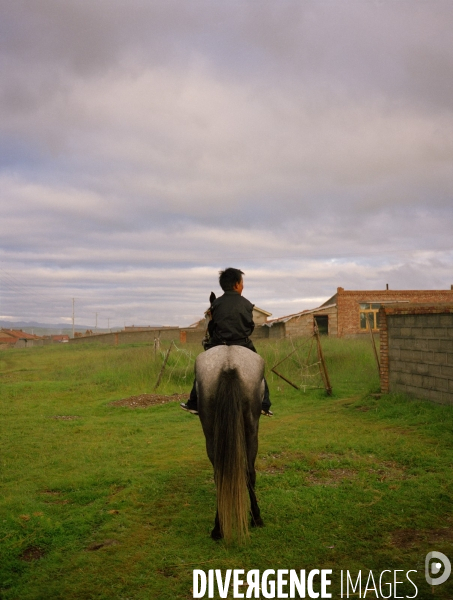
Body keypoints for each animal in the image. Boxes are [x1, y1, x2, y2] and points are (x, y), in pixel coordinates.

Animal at [195, 342, 264, 544]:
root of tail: (228, 365)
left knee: (221, 475)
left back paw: (219, 528)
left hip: (211, 431)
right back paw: (256, 518)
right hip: (251, 430)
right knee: (249, 472)